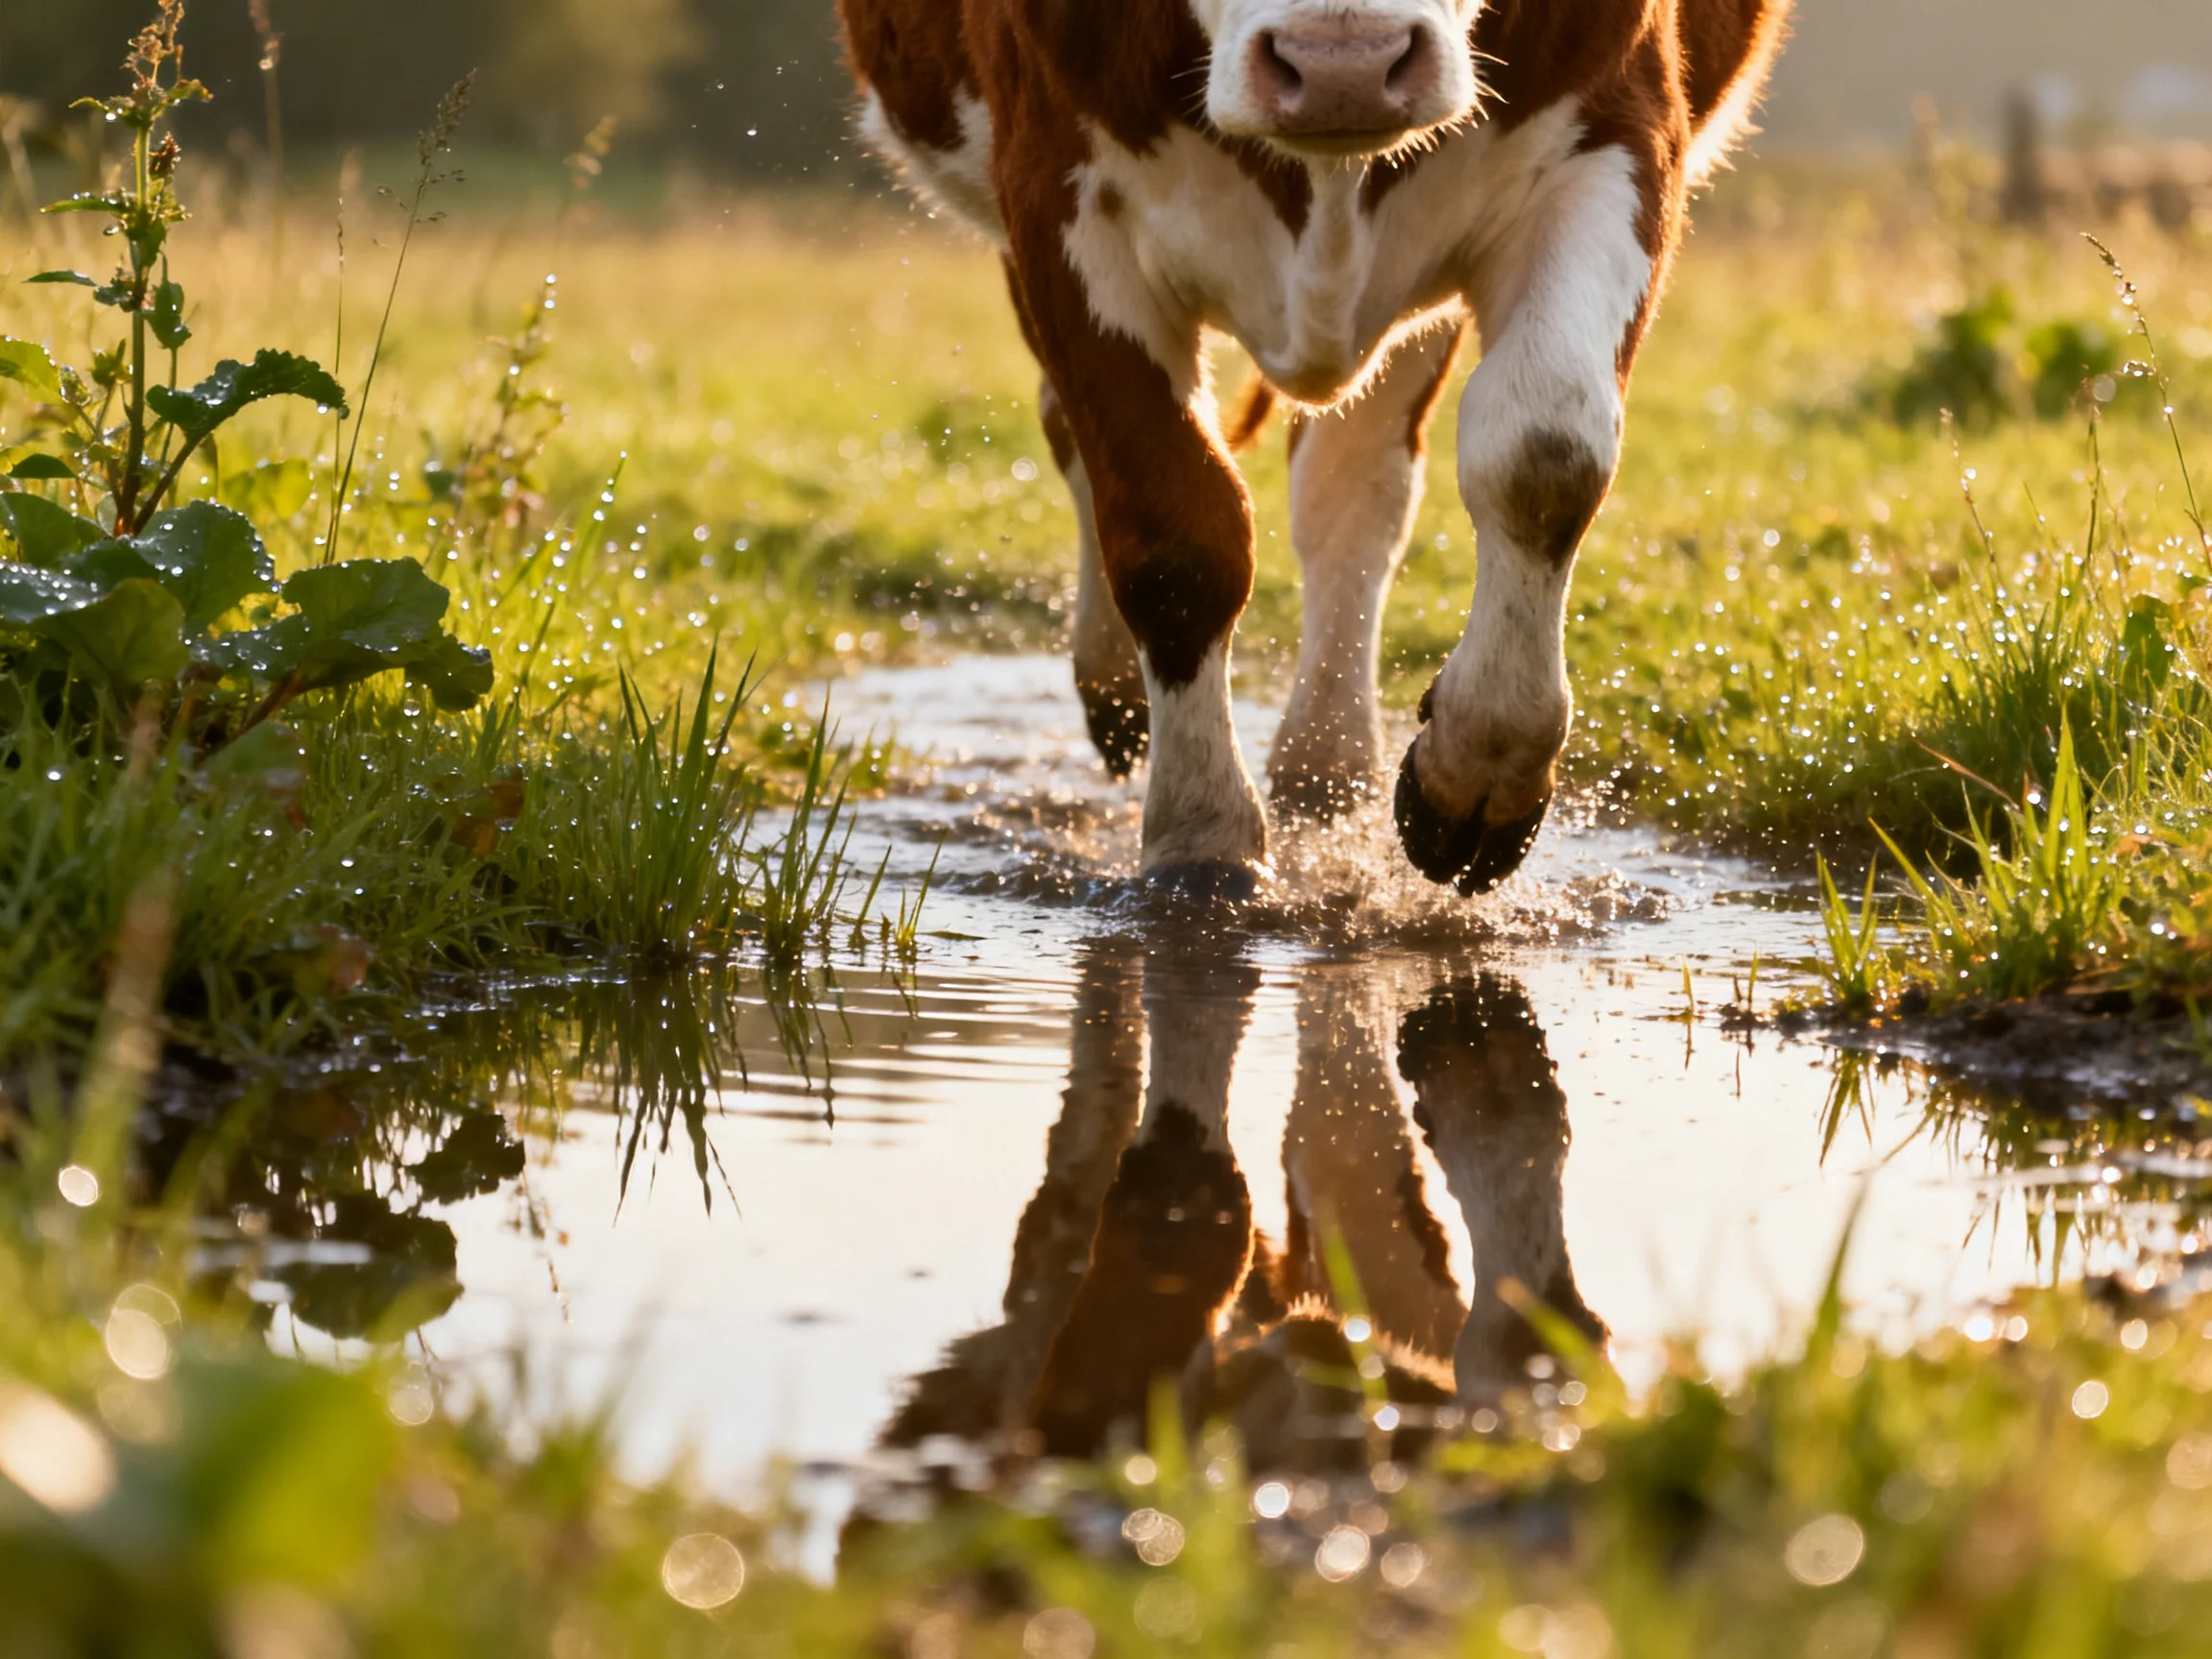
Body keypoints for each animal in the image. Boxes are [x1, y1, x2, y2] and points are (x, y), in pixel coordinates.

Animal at [840, 0, 1791, 895]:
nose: (1346, 67)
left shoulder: (1614, 127)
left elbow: (1545, 448)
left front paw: (1479, 769)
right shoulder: (1052, 185)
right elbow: (1174, 534)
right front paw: (1203, 846)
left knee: (1353, 490)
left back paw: (1326, 768)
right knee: (1076, 431)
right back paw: (1122, 688)